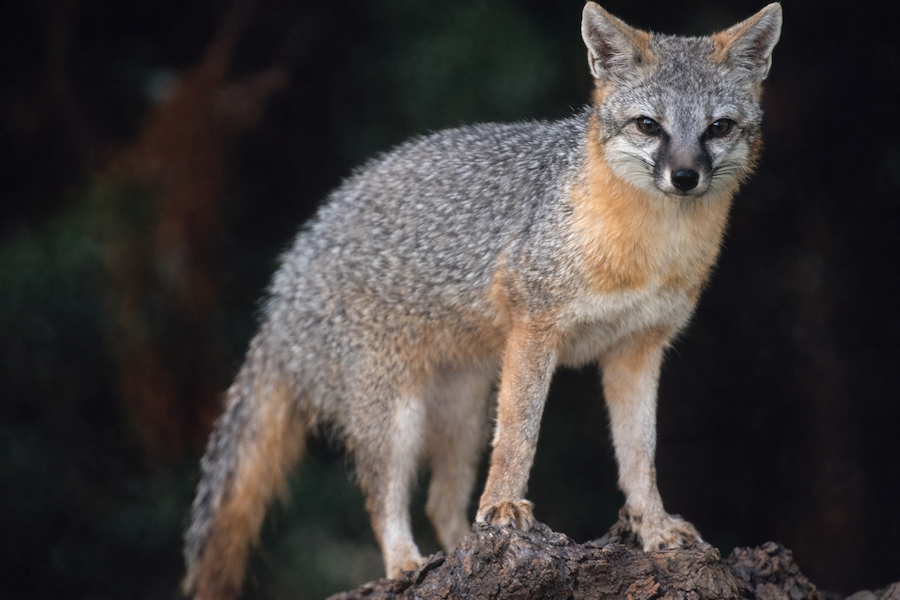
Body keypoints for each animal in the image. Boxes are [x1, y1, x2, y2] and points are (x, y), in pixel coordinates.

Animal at [183, 3, 783, 598]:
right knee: (383, 497)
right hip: (395, 416)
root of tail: (281, 291)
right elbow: (520, 436)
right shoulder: (535, 327)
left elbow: (641, 456)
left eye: (718, 127)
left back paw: (454, 560)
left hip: (464, 413)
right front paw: (504, 508)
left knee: (440, 502)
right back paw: (405, 564)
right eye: (648, 125)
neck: (649, 249)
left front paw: (653, 527)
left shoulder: (638, 350)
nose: (684, 177)